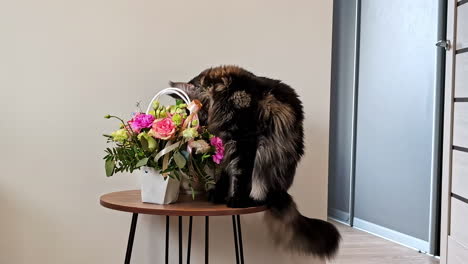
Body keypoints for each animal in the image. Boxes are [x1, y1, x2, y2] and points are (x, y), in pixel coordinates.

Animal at [170, 65, 342, 258]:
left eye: (188, 113)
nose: (188, 127)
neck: (222, 94)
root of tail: (282, 192)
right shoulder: (228, 146)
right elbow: (225, 173)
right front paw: (218, 194)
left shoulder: (245, 141)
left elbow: (240, 175)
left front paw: (236, 200)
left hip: (264, 158)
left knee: (261, 194)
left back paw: (249, 200)